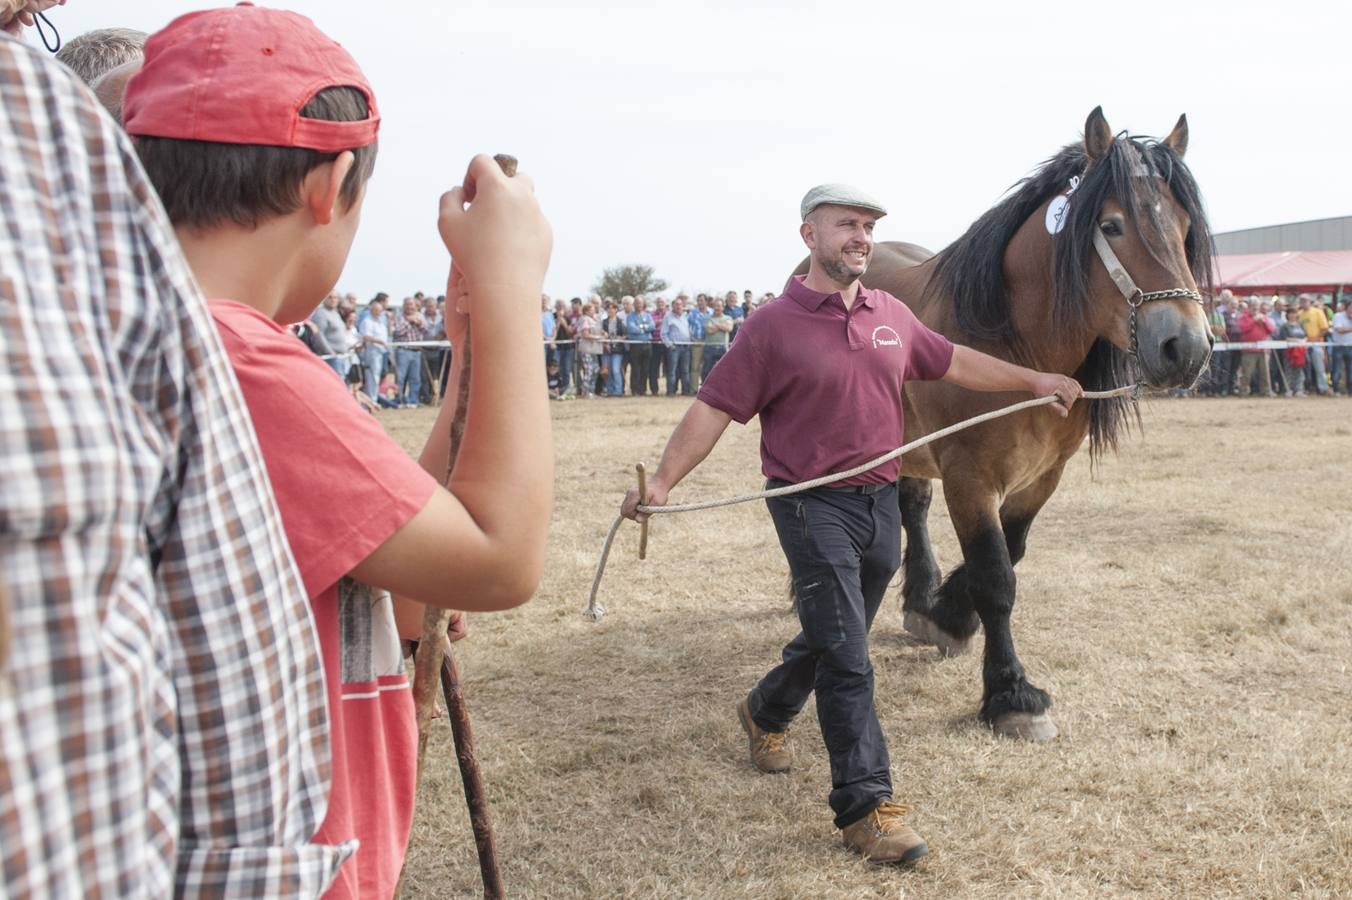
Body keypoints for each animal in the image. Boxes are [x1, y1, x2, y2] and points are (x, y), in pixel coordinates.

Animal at [789, 106, 1216, 735]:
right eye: (1113, 225)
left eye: (1185, 227)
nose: (1184, 347)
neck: (1016, 347)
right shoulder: (970, 477)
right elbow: (995, 578)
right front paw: (1011, 693)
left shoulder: (1042, 477)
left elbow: (1006, 555)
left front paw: (948, 614)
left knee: (912, 507)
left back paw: (920, 601)